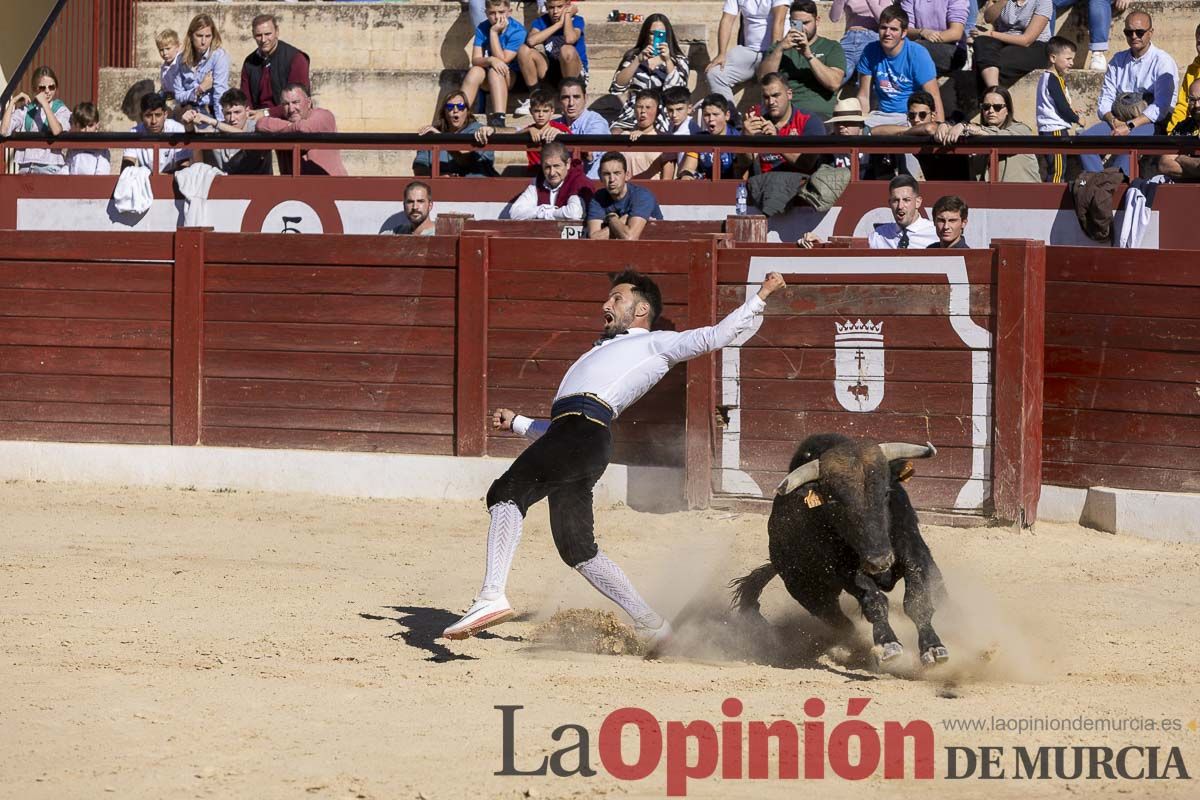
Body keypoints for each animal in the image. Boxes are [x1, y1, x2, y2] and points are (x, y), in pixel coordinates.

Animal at [724, 434, 950, 666]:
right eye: (835, 502)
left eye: (886, 492)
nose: (879, 561)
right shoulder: (846, 573)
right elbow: (875, 601)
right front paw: (888, 644)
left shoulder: (914, 551)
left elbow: (917, 600)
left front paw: (933, 647)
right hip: (810, 593)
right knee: (842, 624)